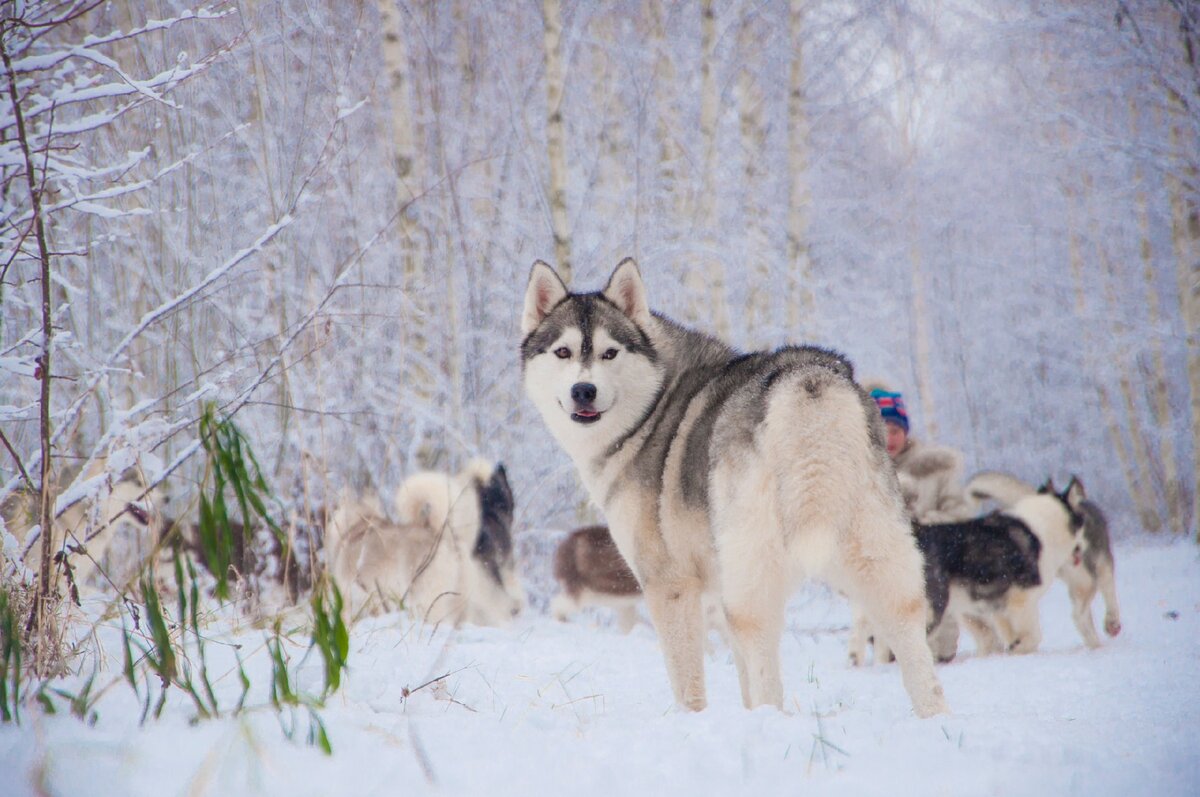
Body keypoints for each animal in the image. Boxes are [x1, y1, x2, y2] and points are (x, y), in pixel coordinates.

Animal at [520, 260, 950, 715]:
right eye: (563, 352)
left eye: (609, 352)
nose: (583, 390)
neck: (649, 411)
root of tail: (808, 376)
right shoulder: (715, 586)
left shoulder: (669, 585)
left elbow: (688, 683)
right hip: (876, 554)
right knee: (910, 633)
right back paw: (932, 718)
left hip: (753, 571)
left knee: (762, 654)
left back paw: (770, 718)